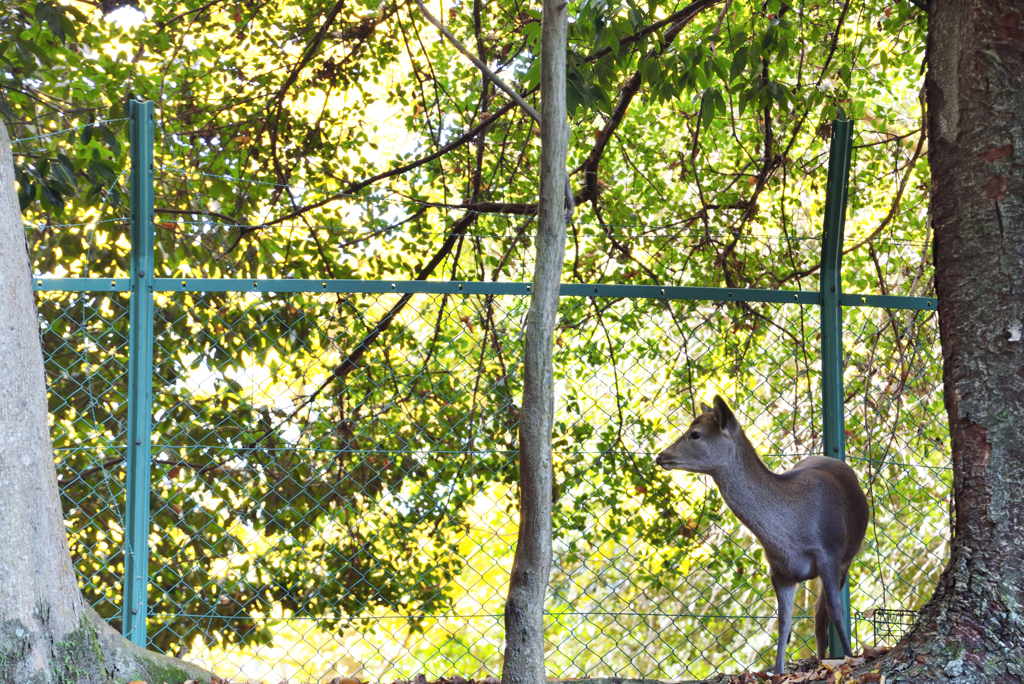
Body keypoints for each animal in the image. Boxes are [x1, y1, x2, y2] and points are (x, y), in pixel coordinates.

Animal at [659, 395, 868, 671]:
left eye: (695, 434)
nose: (661, 455)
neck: (789, 536)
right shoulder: (779, 570)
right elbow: (783, 624)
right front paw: (779, 671)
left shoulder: (829, 552)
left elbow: (836, 609)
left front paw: (850, 658)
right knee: (816, 614)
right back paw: (820, 659)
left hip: (848, 556)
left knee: (823, 611)